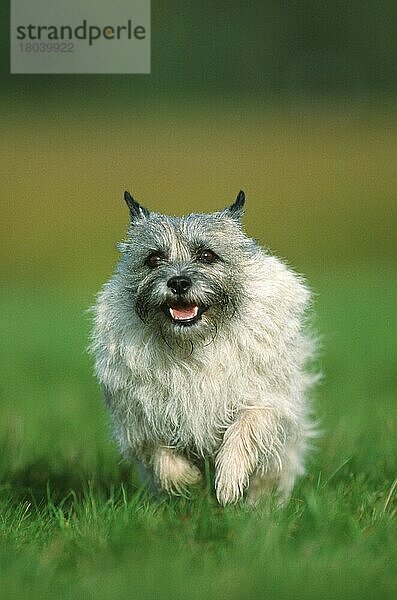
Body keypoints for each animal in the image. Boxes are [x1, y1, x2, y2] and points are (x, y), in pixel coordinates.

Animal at [90, 190, 316, 504]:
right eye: (153, 259)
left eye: (207, 255)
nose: (178, 282)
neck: (193, 345)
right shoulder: (139, 413)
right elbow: (159, 448)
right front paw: (187, 480)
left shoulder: (268, 399)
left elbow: (244, 426)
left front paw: (229, 481)